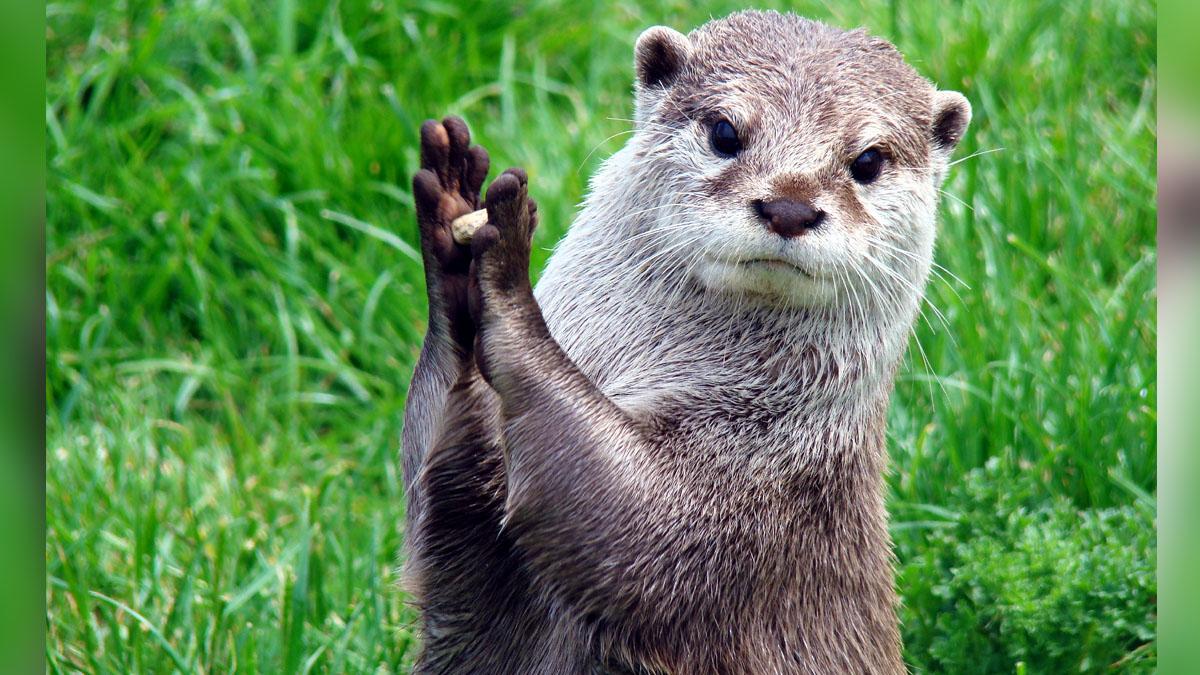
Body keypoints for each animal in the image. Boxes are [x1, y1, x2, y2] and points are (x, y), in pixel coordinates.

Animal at [401, 10, 971, 674]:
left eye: (869, 160)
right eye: (725, 131)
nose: (790, 207)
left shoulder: (755, 512)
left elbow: (634, 530)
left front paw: (507, 280)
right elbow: (443, 523)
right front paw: (450, 231)